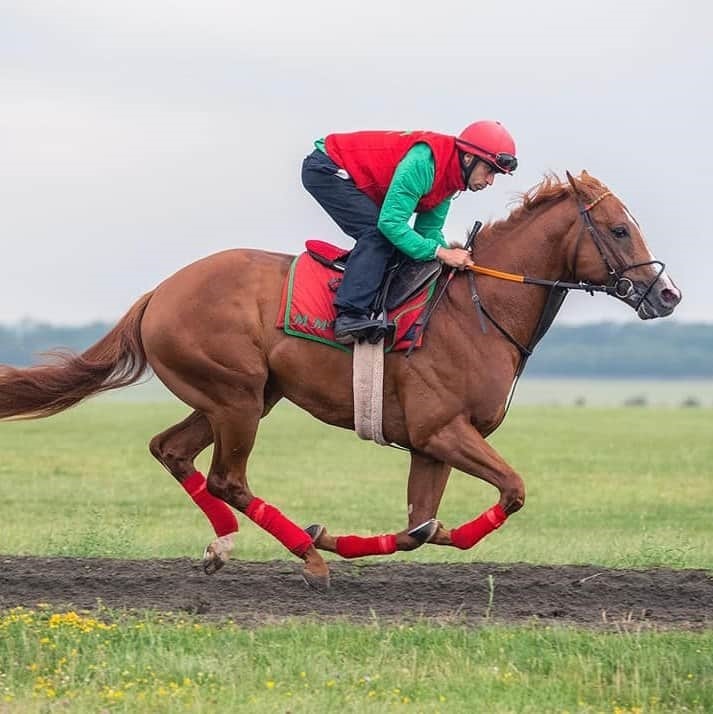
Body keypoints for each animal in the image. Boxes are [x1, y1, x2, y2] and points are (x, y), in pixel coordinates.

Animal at [0, 170, 680, 588]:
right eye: (619, 229)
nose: (667, 294)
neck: (480, 308)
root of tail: (157, 293)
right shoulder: (444, 430)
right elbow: (509, 492)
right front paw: (326, 543)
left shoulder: (431, 445)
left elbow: (419, 530)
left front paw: (343, 539)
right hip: (236, 397)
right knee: (227, 477)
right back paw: (306, 556)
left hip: (241, 397)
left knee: (170, 450)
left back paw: (227, 547)